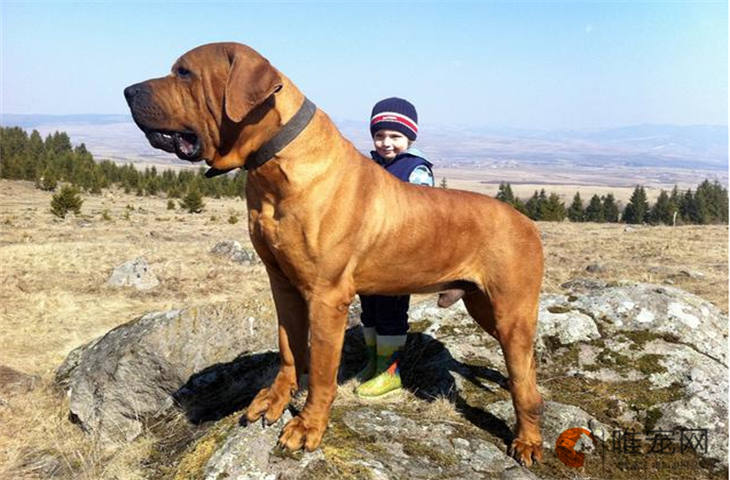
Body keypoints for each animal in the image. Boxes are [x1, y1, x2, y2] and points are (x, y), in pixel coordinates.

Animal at [123, 44, 540, 464]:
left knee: (526, 385)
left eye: (185, 73)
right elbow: (289, 348)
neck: (274, 165)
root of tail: (528, 223)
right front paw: (276, 398)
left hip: (511, 314)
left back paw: (528, 440)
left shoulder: (327, 298)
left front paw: (308, 425)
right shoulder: (283, 285)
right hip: (482, 305)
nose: (127, 91)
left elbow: (323, 372)